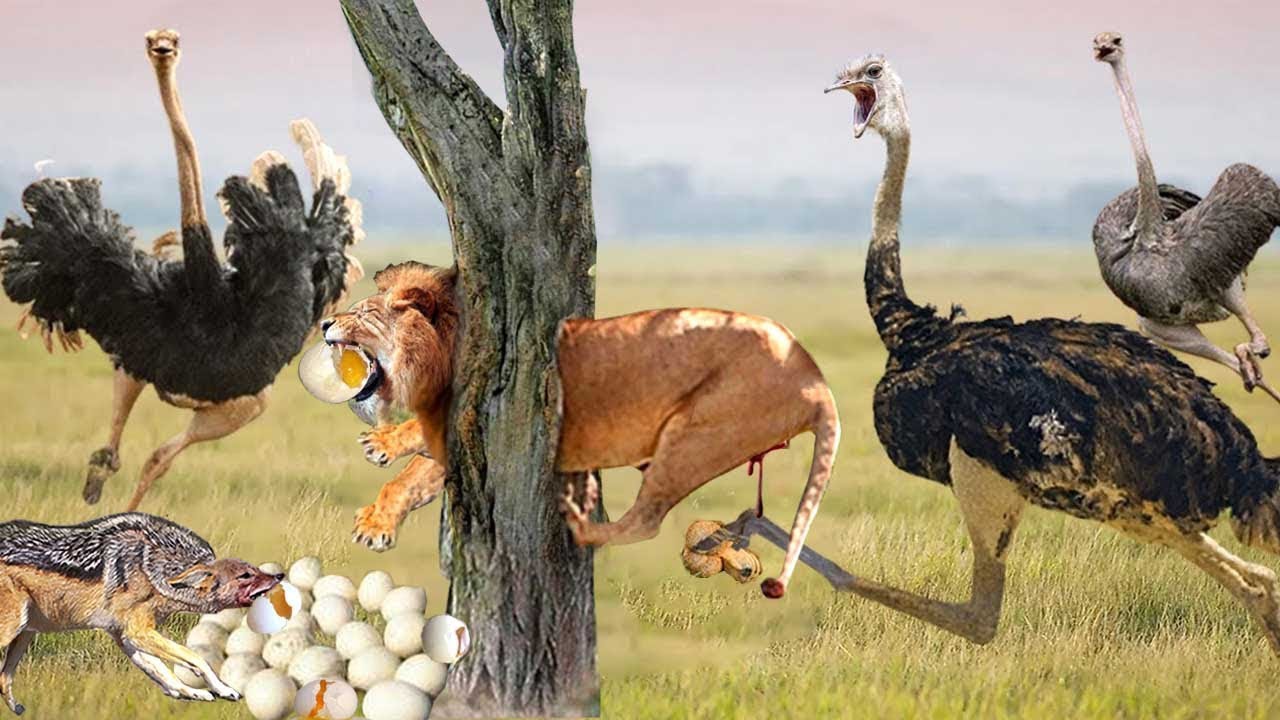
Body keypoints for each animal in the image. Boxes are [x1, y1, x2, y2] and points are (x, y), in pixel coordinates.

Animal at [0, 513, 282, 715]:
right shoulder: (138, 632)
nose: (279, 575)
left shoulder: (125, 636)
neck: (152, 568)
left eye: (254, 569)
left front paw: (199, 693)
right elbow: (197, 659)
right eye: (245, 576)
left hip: (25, 633)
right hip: (12, 629)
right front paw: (219, 688)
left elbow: (166, 675)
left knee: (3, 679)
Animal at [327, 261, 840, 598]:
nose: (326, 322)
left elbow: (410, 464)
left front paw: (381, 449)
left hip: (694, 430)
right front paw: (376, 521)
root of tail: (812, 379)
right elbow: (409, 481)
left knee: (645, 521)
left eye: (362, 312)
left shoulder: (477, 420)